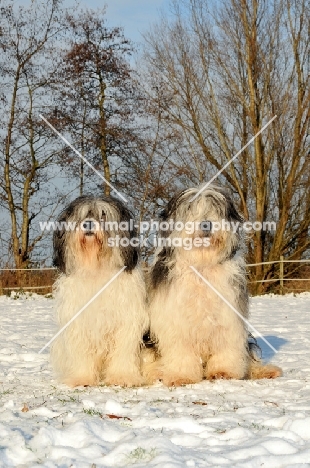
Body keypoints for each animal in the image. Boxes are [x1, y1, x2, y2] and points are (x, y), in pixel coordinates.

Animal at [51, 194, 148, 388]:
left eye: (103, 214)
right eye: (81, 215)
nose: (88, 224)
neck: (96, 266)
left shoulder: (126, 320)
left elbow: (123, 350)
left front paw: (122, 377)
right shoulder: (79, 320)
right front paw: (81, 378)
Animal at [144, 185, 282, 386]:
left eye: (216, 210)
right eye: (190, 210)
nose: (206, 224)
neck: (202, 267)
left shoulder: (229, 316)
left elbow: (226, 345)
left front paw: (222, 372)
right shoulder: (175, 320)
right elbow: (181, 351)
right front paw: (181, 376)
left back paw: (265, 370)